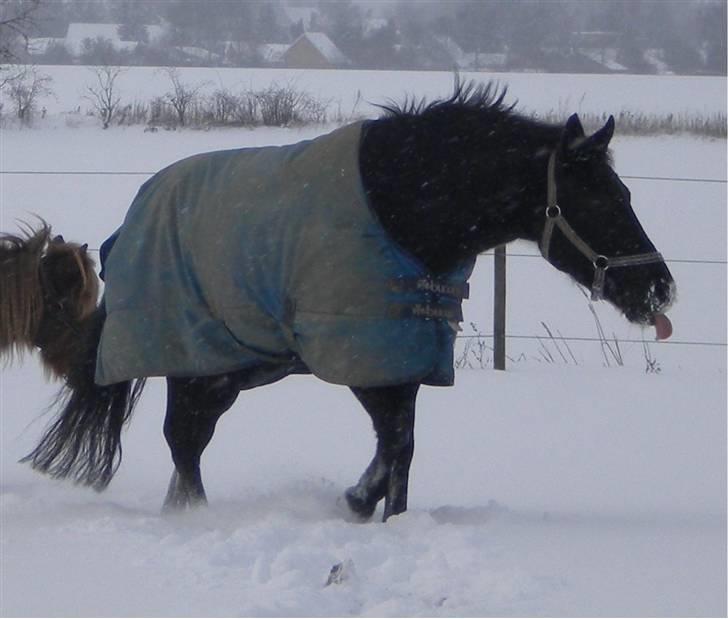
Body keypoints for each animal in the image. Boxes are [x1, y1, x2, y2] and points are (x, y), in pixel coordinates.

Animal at [0, 82, 675, 522]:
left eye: (624, 193)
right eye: (600, 199)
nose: (659, 289)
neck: (403, 206)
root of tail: (131, 220)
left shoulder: (406, 354)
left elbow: (401, 448)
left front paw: (379, 512)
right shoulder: (360, 354)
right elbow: (394, 444)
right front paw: (358, 504)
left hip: (231, 371)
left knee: (189, 441)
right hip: (193, 364)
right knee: (184, 443)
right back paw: (194, 519)